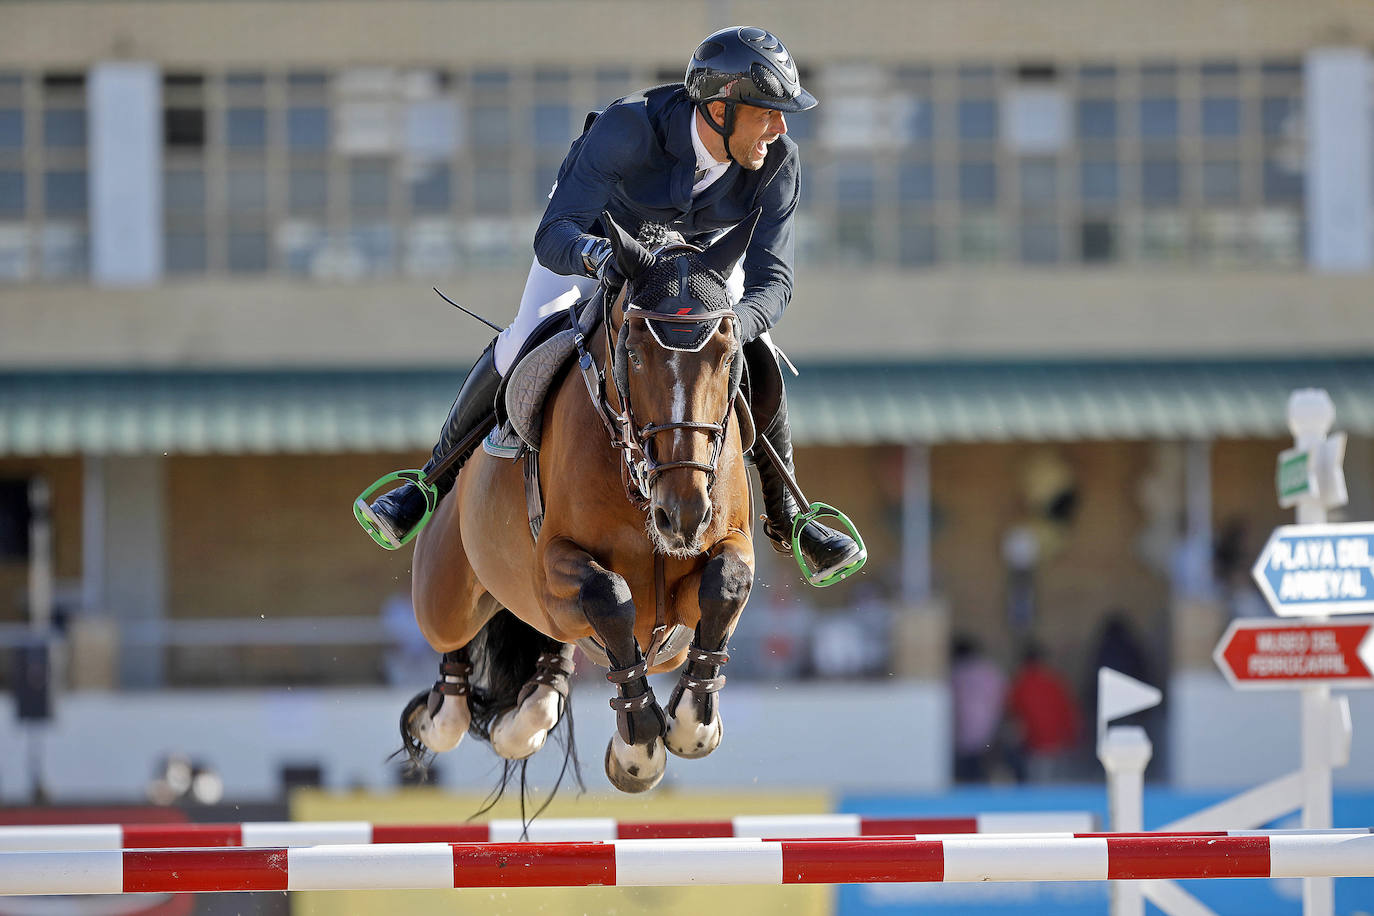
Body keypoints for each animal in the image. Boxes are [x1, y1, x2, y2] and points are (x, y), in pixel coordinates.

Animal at [398, 211, 759, 793]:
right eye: (633, 351)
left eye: (727, 355)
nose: (681, 515)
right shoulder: (551, 568)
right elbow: (608, 594)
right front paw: (639, 748)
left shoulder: (724, 550)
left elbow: (726, 582)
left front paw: (689, 724)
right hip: (445, 594)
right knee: (453, 654)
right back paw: (439, 717)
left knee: (548, 676)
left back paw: (521, 716)